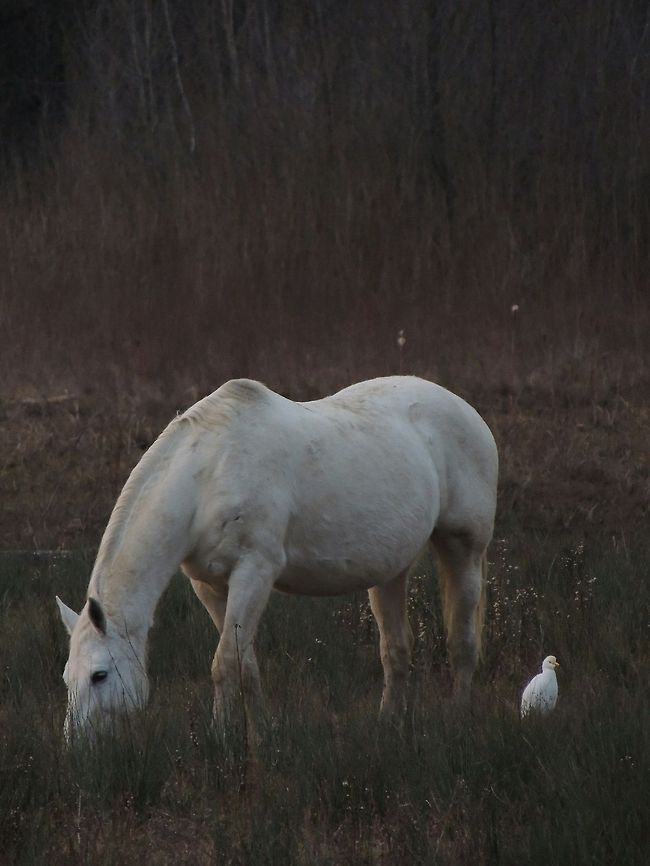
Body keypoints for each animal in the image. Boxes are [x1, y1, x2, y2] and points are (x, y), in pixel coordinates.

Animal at [56, 376, 498, 741]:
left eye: (99, 675)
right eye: (66, 678)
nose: (77, 747)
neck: (208, 476)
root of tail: (467, 410)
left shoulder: (254, 573)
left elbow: (224, 664)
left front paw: (221, 739)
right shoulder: (209, 585)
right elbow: (245, 665)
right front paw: (262, 733)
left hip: (463, 548)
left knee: (462, 642)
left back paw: (457, 717)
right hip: (391, 571)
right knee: (396, 650)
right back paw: (388, 722)